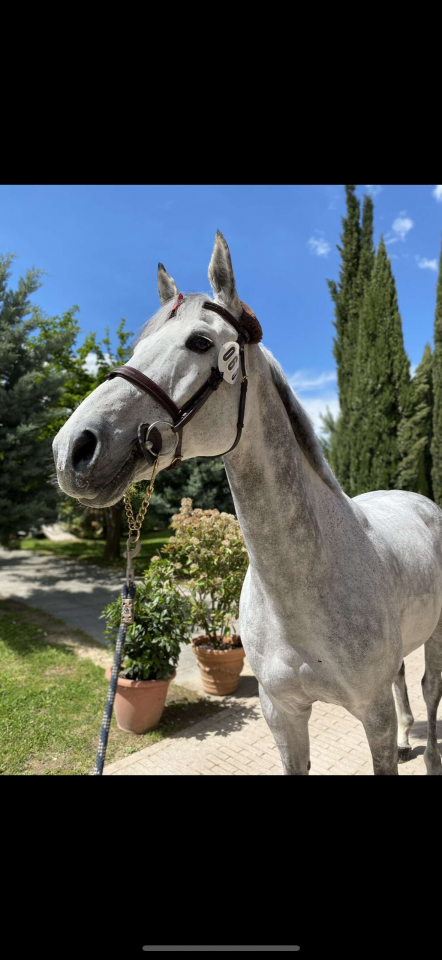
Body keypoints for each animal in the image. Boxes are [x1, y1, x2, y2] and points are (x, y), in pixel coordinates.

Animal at [52, 231, 442, 775]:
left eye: (200, 342)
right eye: (137, 346)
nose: (73, 448)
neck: (304, 586)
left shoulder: (373, 717)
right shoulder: (282, 715)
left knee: (428, 690)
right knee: (404, 679)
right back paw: (411, 738)